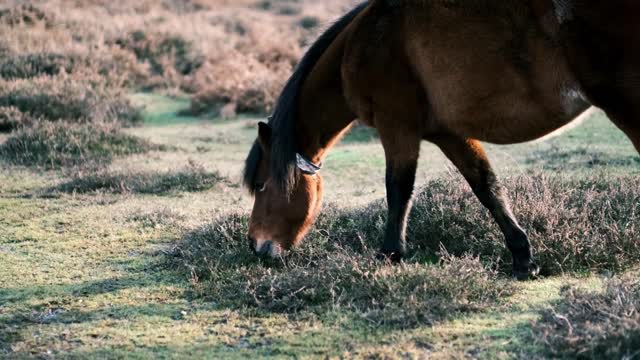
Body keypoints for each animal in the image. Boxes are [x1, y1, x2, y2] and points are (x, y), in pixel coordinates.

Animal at [241, 0, 640, 280]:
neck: (365, 43)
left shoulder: (397, 126)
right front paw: (522, 259)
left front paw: (389, 255)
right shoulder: (448, 133)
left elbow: (398, 189)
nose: (256, 246)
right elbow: (486, 186)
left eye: (261, 185)